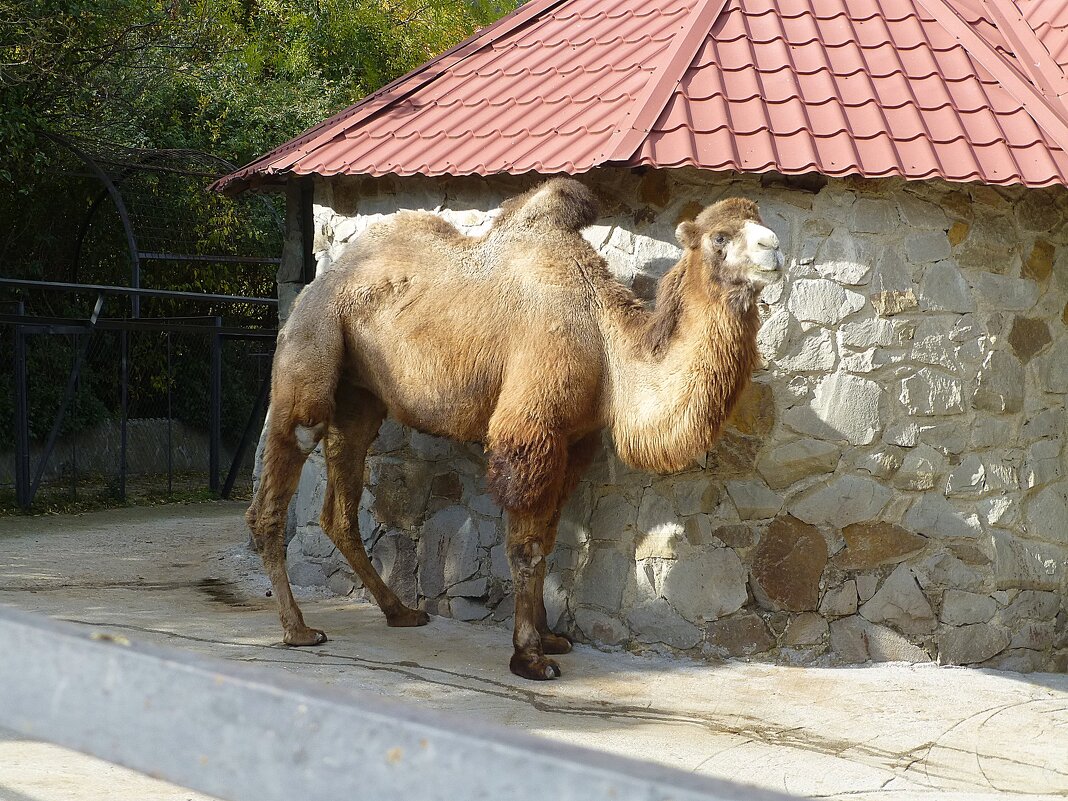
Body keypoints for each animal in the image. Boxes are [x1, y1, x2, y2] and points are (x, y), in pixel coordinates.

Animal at [249, 178, 786, 679]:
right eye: (720, 237)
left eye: (760, 220)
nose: (774, 246)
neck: (603, 340)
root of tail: (318, 282)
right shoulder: (531, 429)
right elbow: (525, 547)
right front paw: (529, 655)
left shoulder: (576, 441)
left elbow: (546, 542)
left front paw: (549, 637)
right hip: (312, 344)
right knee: (288, 456)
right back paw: (297, 629)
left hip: (359, 395)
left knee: (340, 500)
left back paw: (401, 611)